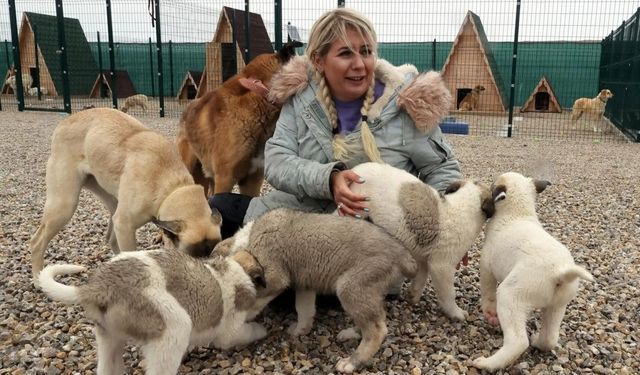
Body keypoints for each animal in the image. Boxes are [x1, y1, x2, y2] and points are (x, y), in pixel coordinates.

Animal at [30, 108, 222, 282]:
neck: (171, 186)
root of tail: (65, 122)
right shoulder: (125, 225)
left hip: (112, 201)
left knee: (110, 238)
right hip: (65, 205)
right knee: (37, 242)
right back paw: (39, 280)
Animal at [37, 250, 268, 375]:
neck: (235, 269)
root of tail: (100, 286)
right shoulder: (230, 332)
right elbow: (246, 332)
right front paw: (262, 330)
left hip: (108, 337)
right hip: (174, 329)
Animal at [219, 210, 420, 374]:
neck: (249, 237)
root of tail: (403, 253)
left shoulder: (275, 277)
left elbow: (257, 299)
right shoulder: (305, 283)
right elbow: (304, 310)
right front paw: (301, 330)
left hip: (351, 285)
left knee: (377, 329)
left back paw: (352, 362)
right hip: (366, 290)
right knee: (372, 319)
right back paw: (352, 333)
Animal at [470, 172, 596, 372]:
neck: (518, 213)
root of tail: (559, 272)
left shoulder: (487, 269)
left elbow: (488, 294)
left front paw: (489, 313)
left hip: (509, 296)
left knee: (518, 342)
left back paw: (487, 363)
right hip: (556, 307)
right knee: (549, 338)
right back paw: (538, 341)